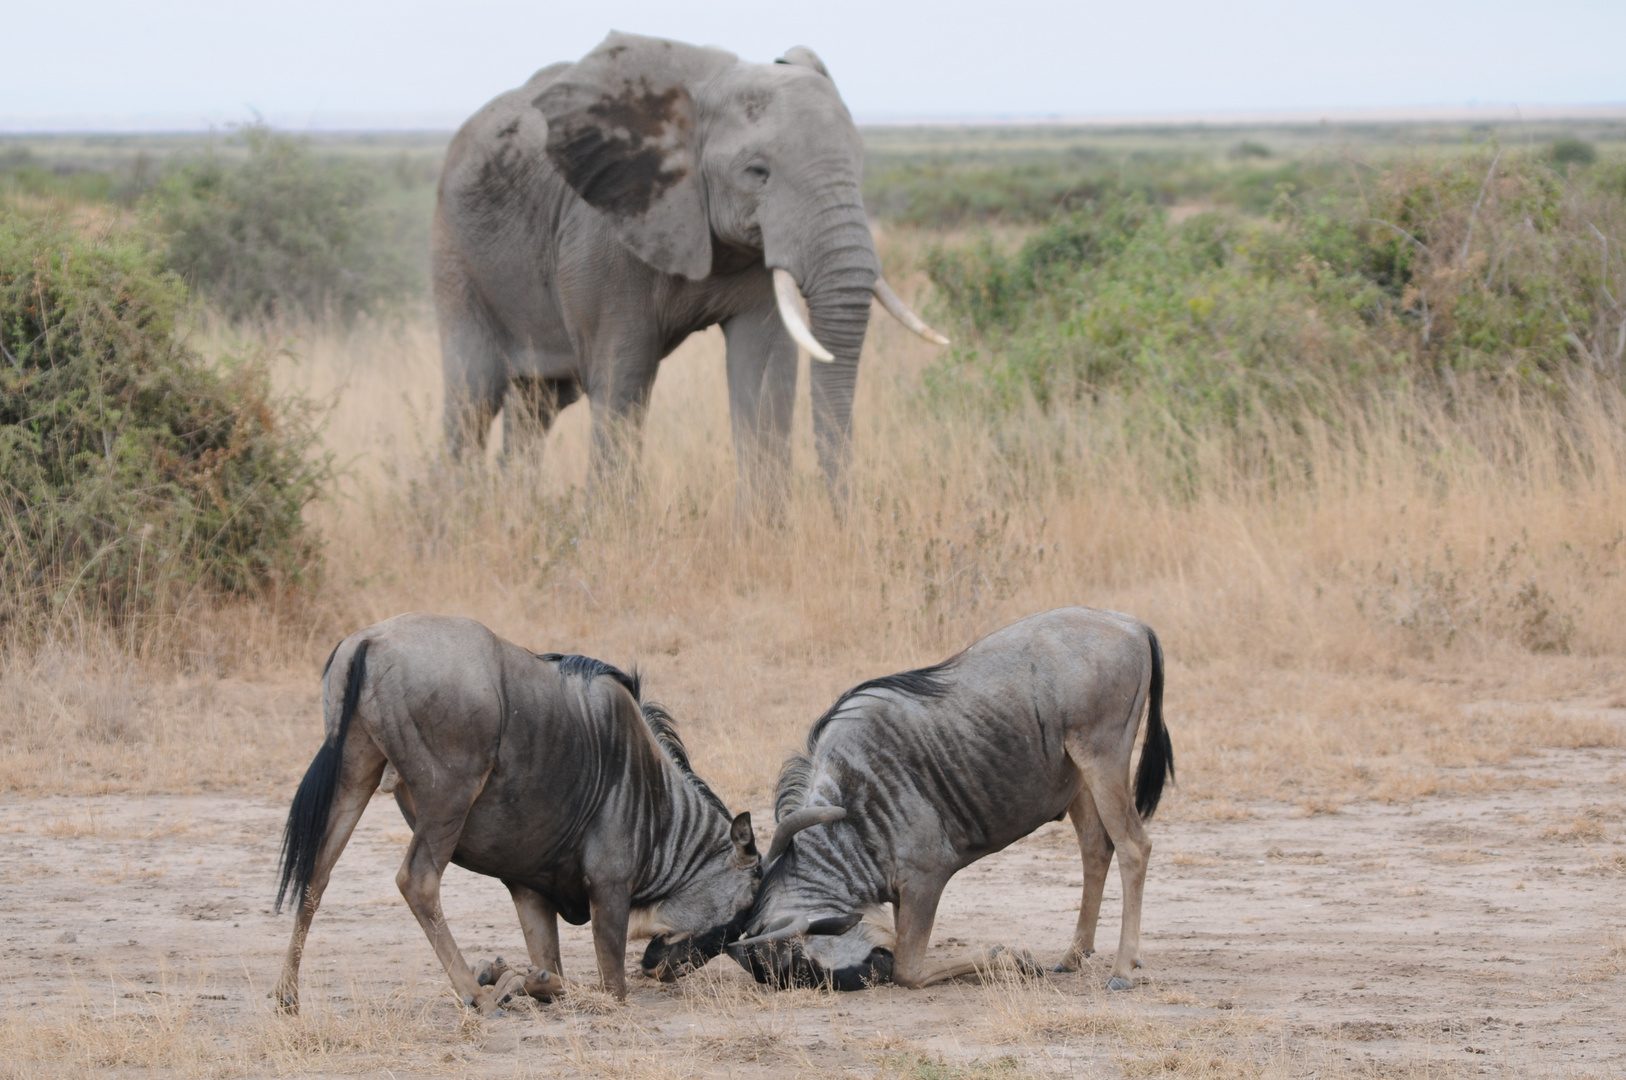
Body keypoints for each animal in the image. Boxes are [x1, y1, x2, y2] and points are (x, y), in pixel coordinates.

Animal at [432, 31, 949, 504]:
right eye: (757, 172)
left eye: (858, 163)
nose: (845, 518)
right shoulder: (602, 232)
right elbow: (623, 377)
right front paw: (610, 528)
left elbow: (764, 369)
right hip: (457, 256)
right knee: (472, 398)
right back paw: (457, 517)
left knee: (536, 406)